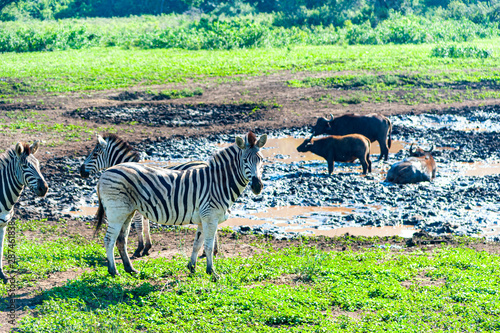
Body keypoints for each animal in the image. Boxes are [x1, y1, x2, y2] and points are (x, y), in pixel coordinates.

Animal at [0, 141, 48, 282]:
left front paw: (2, 275)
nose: (44, 188)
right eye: (25, 166)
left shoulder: (3, 225)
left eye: (38, 165)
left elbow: (0, 249)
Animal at [80, 133, 209, 256]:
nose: (81, 171)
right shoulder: (145, 205)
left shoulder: (137, 206)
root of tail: (205, 163)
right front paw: (147, 247)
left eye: (94, 154)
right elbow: (146, 225)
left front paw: (139, 249)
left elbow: (139, 226)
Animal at [94, 131, 266, 278]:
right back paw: (113, 271)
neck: (218, 183)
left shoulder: (203, 219)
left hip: (127, 212)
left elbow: (197, 244)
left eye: (261, 160)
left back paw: (129, 269)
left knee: (121, 240)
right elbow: (208, 247)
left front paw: (192, 267)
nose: (257, 186)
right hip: (117, 212)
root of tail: (105, 173)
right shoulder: (210, 217)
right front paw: (212, 273)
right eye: (245, 161)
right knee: (109, 240)